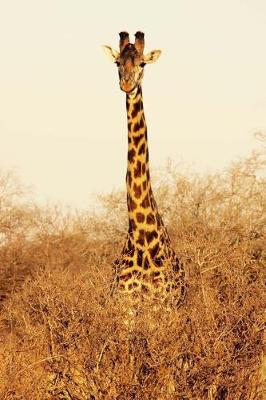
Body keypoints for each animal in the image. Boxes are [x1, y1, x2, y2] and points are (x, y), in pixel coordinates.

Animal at [103, 32, 186, 306]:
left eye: (142, 64)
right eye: (117, 63)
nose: (127, 84)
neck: (142, 240)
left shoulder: (165, 306)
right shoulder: (124, 306)